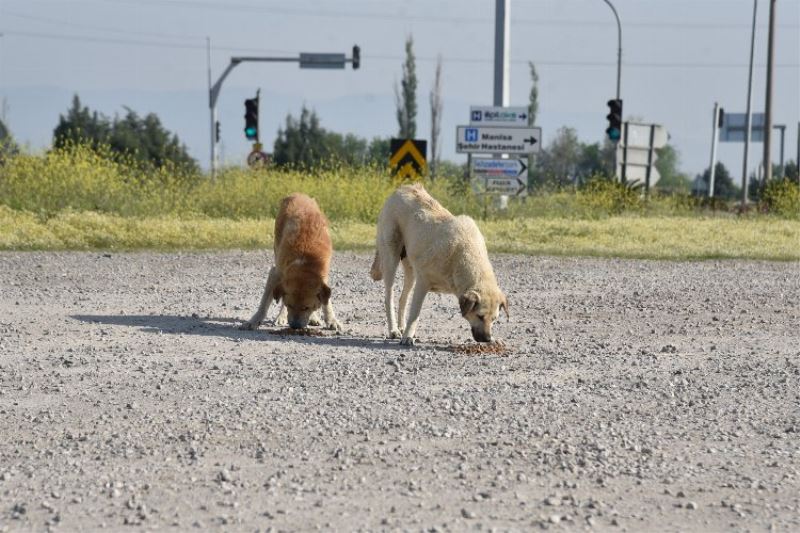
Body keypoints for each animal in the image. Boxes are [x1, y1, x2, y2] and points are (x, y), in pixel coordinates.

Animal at [238, 193, 338, 330]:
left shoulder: (323, 277)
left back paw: (313, 318)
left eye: (306, 307)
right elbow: (264, 303)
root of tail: (298, 194)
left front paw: (331, 320)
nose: (295, 326)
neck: (304, 262)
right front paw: (254, 321)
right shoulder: (275, 273)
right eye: (290, 305)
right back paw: (281, 316)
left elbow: (326, 302)